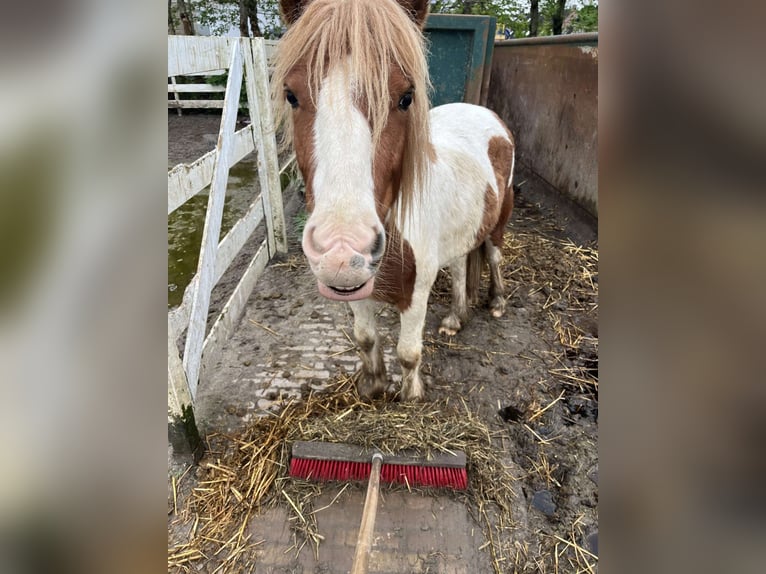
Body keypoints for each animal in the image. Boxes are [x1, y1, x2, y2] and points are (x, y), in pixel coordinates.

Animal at [276, 0, 516, 402]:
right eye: (291, 95)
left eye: (406, 97)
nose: (342, 250)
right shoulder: (355, 290)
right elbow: (365, 338)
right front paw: (373, 386)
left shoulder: (416, 294)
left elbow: (407, 352)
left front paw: (411, 395)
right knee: (459, 266)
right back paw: (456, 317)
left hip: (501, 218)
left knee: (494, 256)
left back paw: (496, 302)